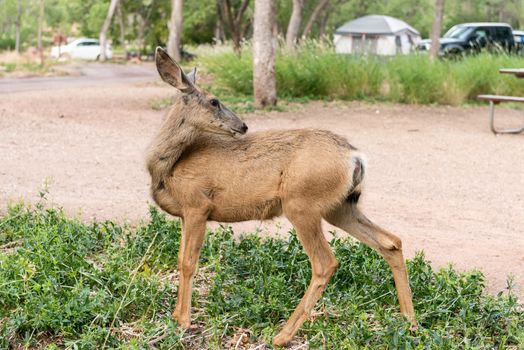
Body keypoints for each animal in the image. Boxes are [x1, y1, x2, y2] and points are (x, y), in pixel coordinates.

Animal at [145, 47, 416, 348]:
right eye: (214, 101)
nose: (243, 125)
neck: (168, 167)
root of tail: (354, 156)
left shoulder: (198, 205)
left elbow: (187, 262)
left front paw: (182, 321)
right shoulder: (186, 213)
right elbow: (180, 258)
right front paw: (175, 316)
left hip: (300, 204)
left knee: (326, 262)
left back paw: (282, 336)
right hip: (340, 207)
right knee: (391, 241)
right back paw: (410, 322)